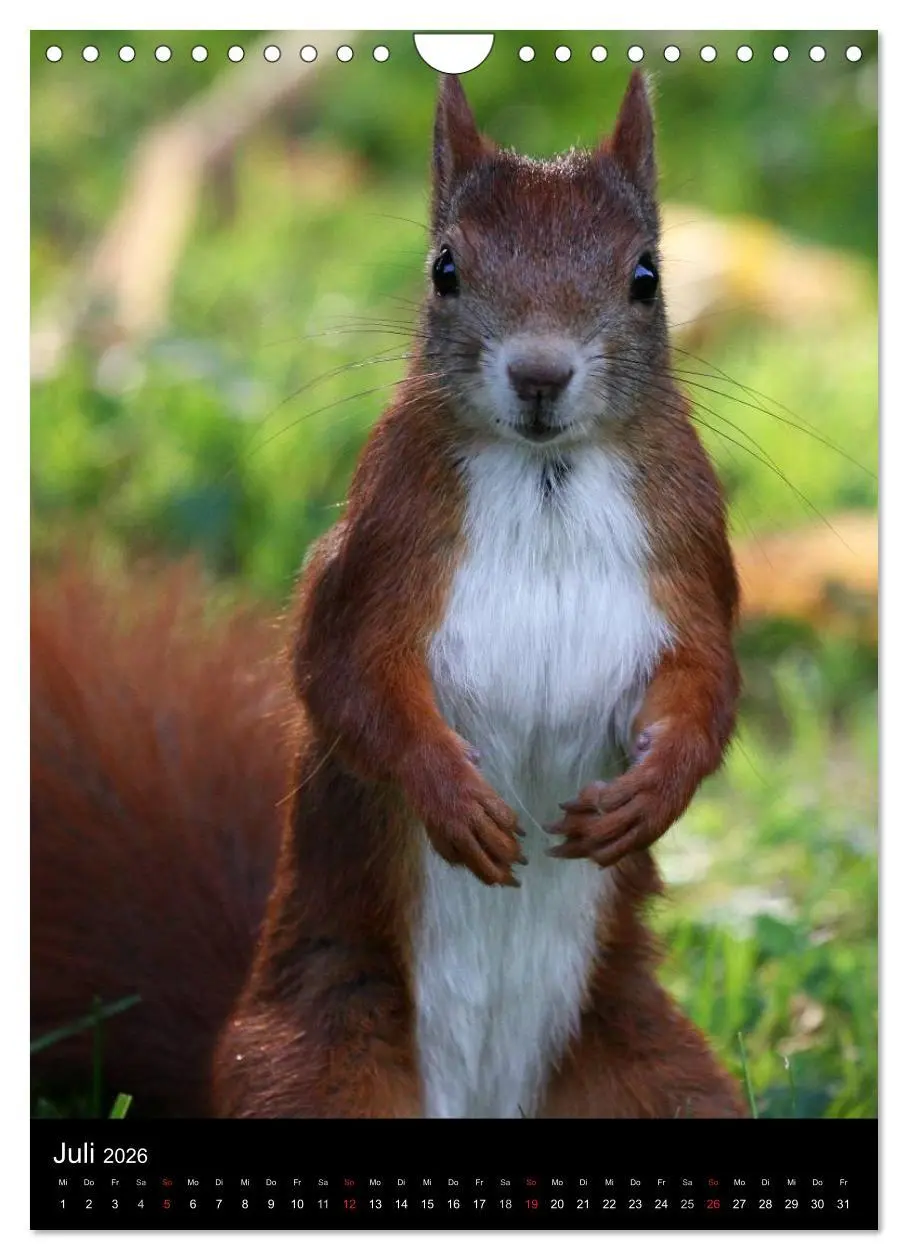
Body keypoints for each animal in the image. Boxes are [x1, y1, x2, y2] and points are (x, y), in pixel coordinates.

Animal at [31, 71, 745, 1120]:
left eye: (646, 276)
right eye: (445, 269)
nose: (540, 373)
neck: (548, 477)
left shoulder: (692, 557)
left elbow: (711, 682)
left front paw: (653, 793)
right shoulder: (375, 552)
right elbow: (342, 678)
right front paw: (451, 798)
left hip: (650, 1071)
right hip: (321, 1059)